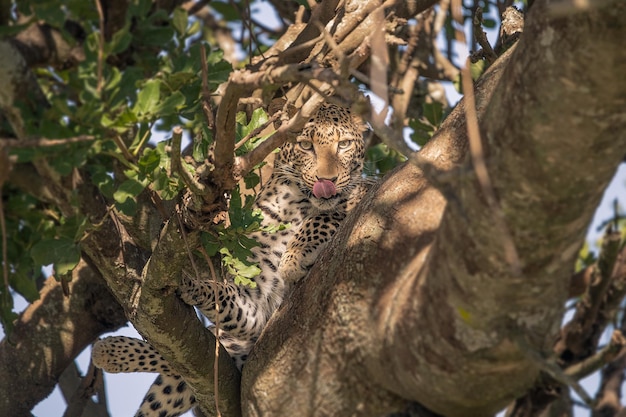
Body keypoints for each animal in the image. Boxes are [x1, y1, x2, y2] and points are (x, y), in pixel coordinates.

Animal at [91, 101, 372, 416]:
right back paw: (111, 351)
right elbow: (220, 294)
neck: (296, 205)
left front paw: (294, 256)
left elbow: (328, 213)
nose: (327, 180)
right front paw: (186, 282)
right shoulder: (258, 306)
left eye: (344, 144)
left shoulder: (369, 192)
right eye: (305, 145)